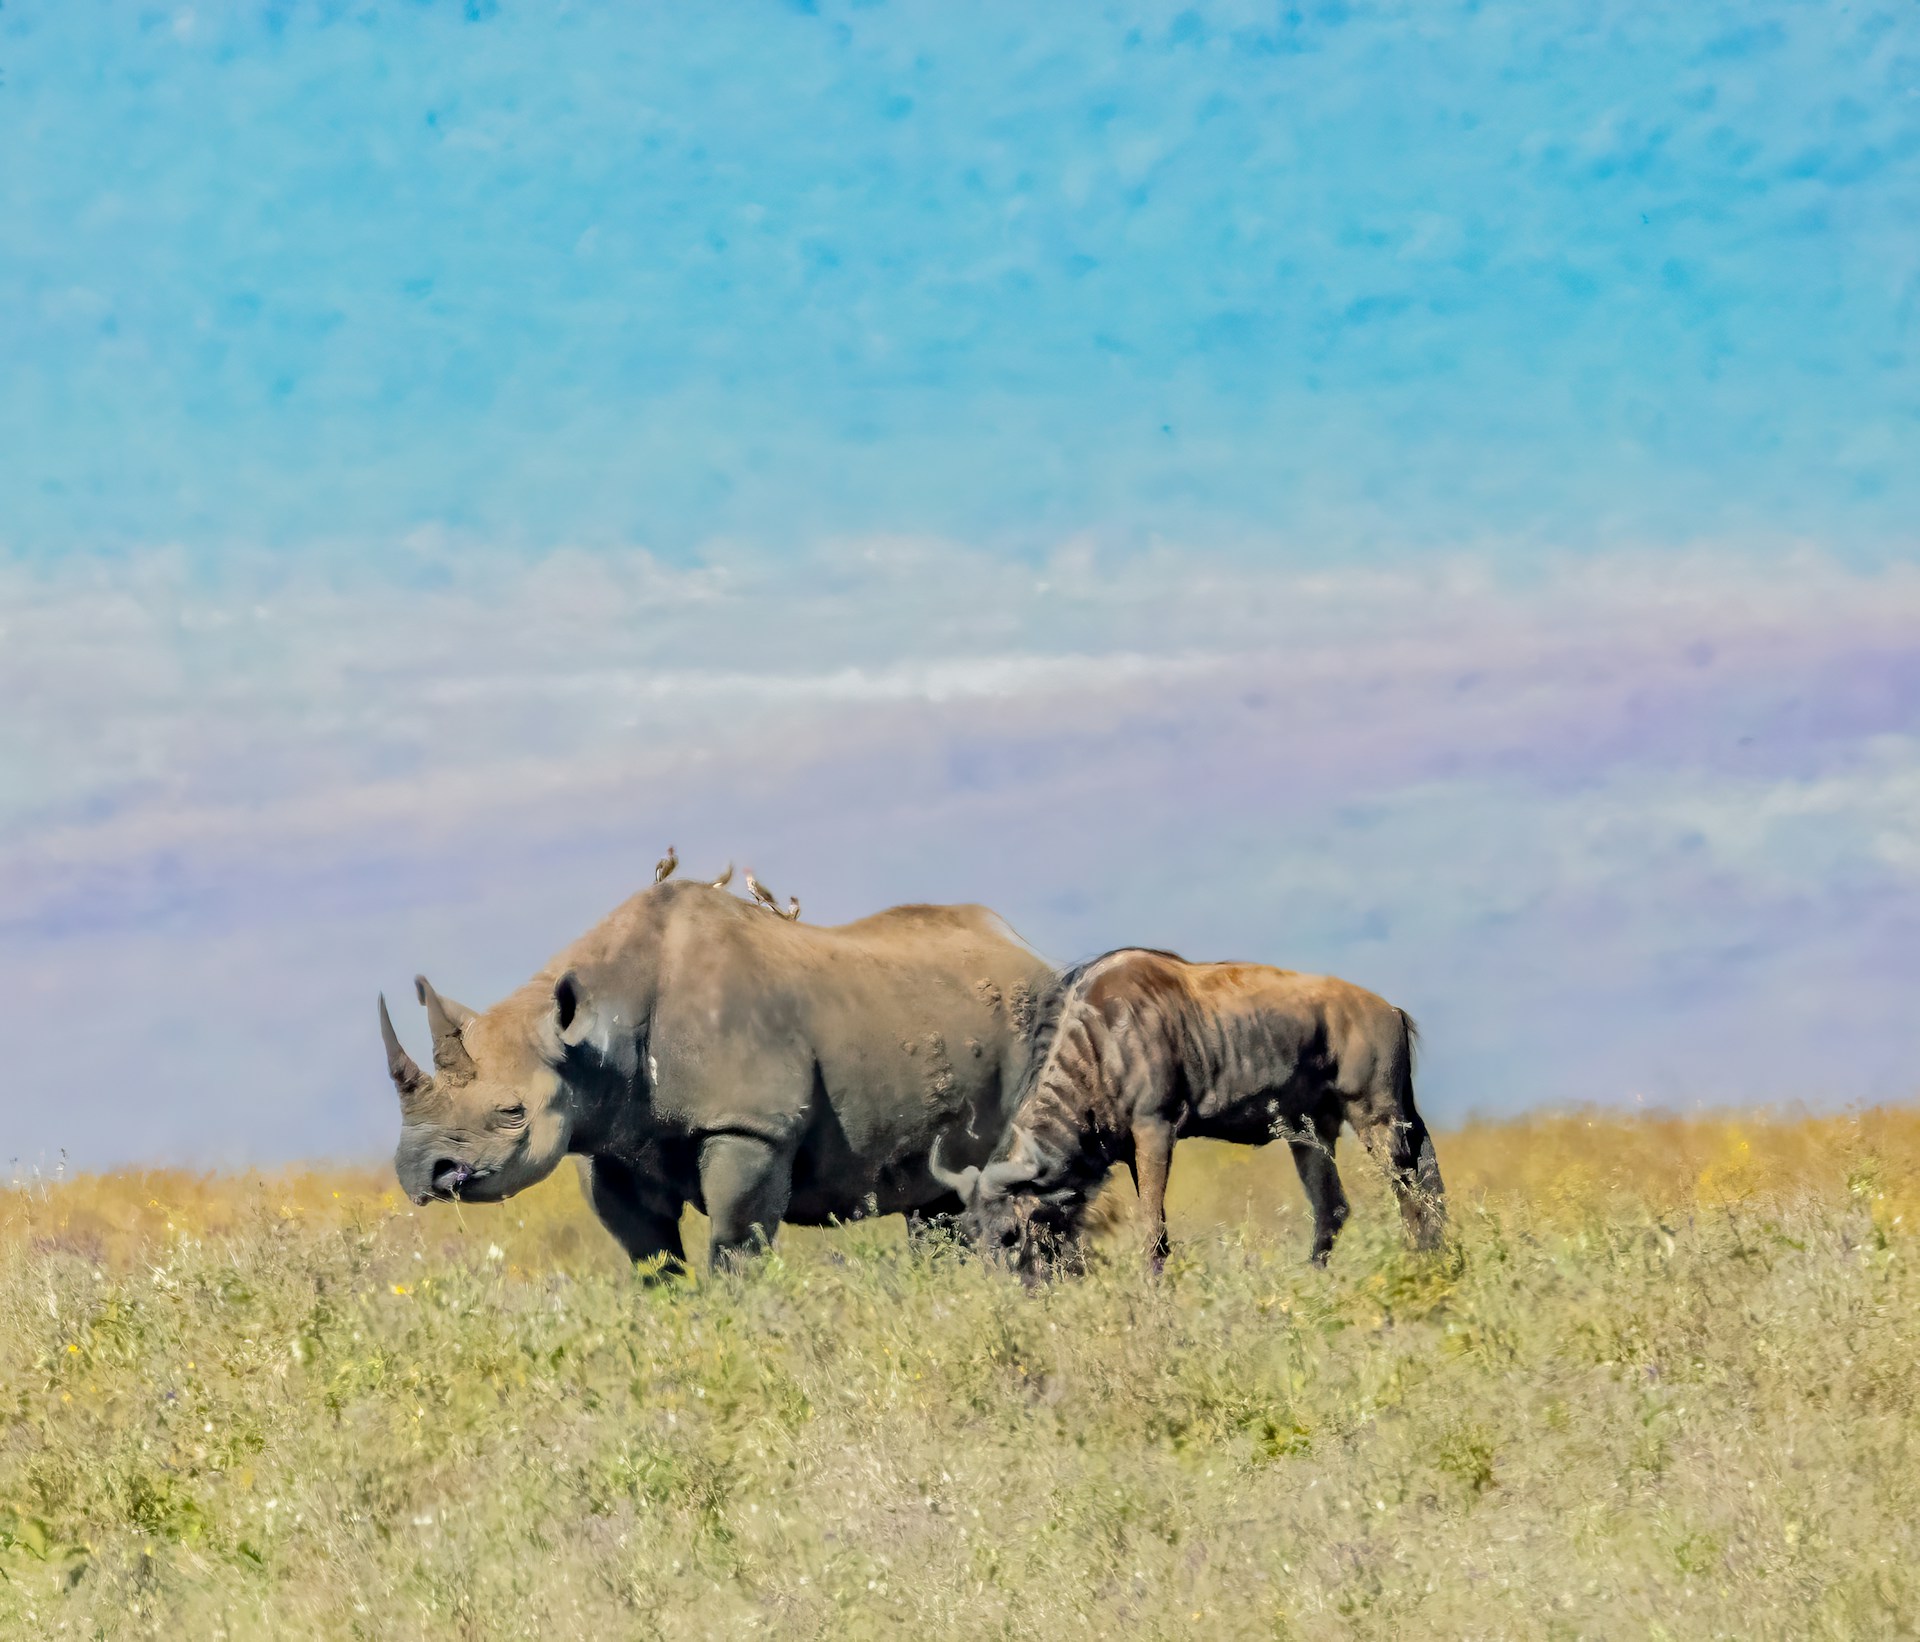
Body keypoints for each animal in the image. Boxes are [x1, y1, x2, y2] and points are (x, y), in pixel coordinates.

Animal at [378, 879, 1054, 1270]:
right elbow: (652, 1256)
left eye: (512, 1113)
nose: (420, 1172)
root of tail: (1031, 951)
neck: (591, 1033)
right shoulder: (609, 1143)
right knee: (938, 1203)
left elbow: (735, 1243)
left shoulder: (750, 1125)